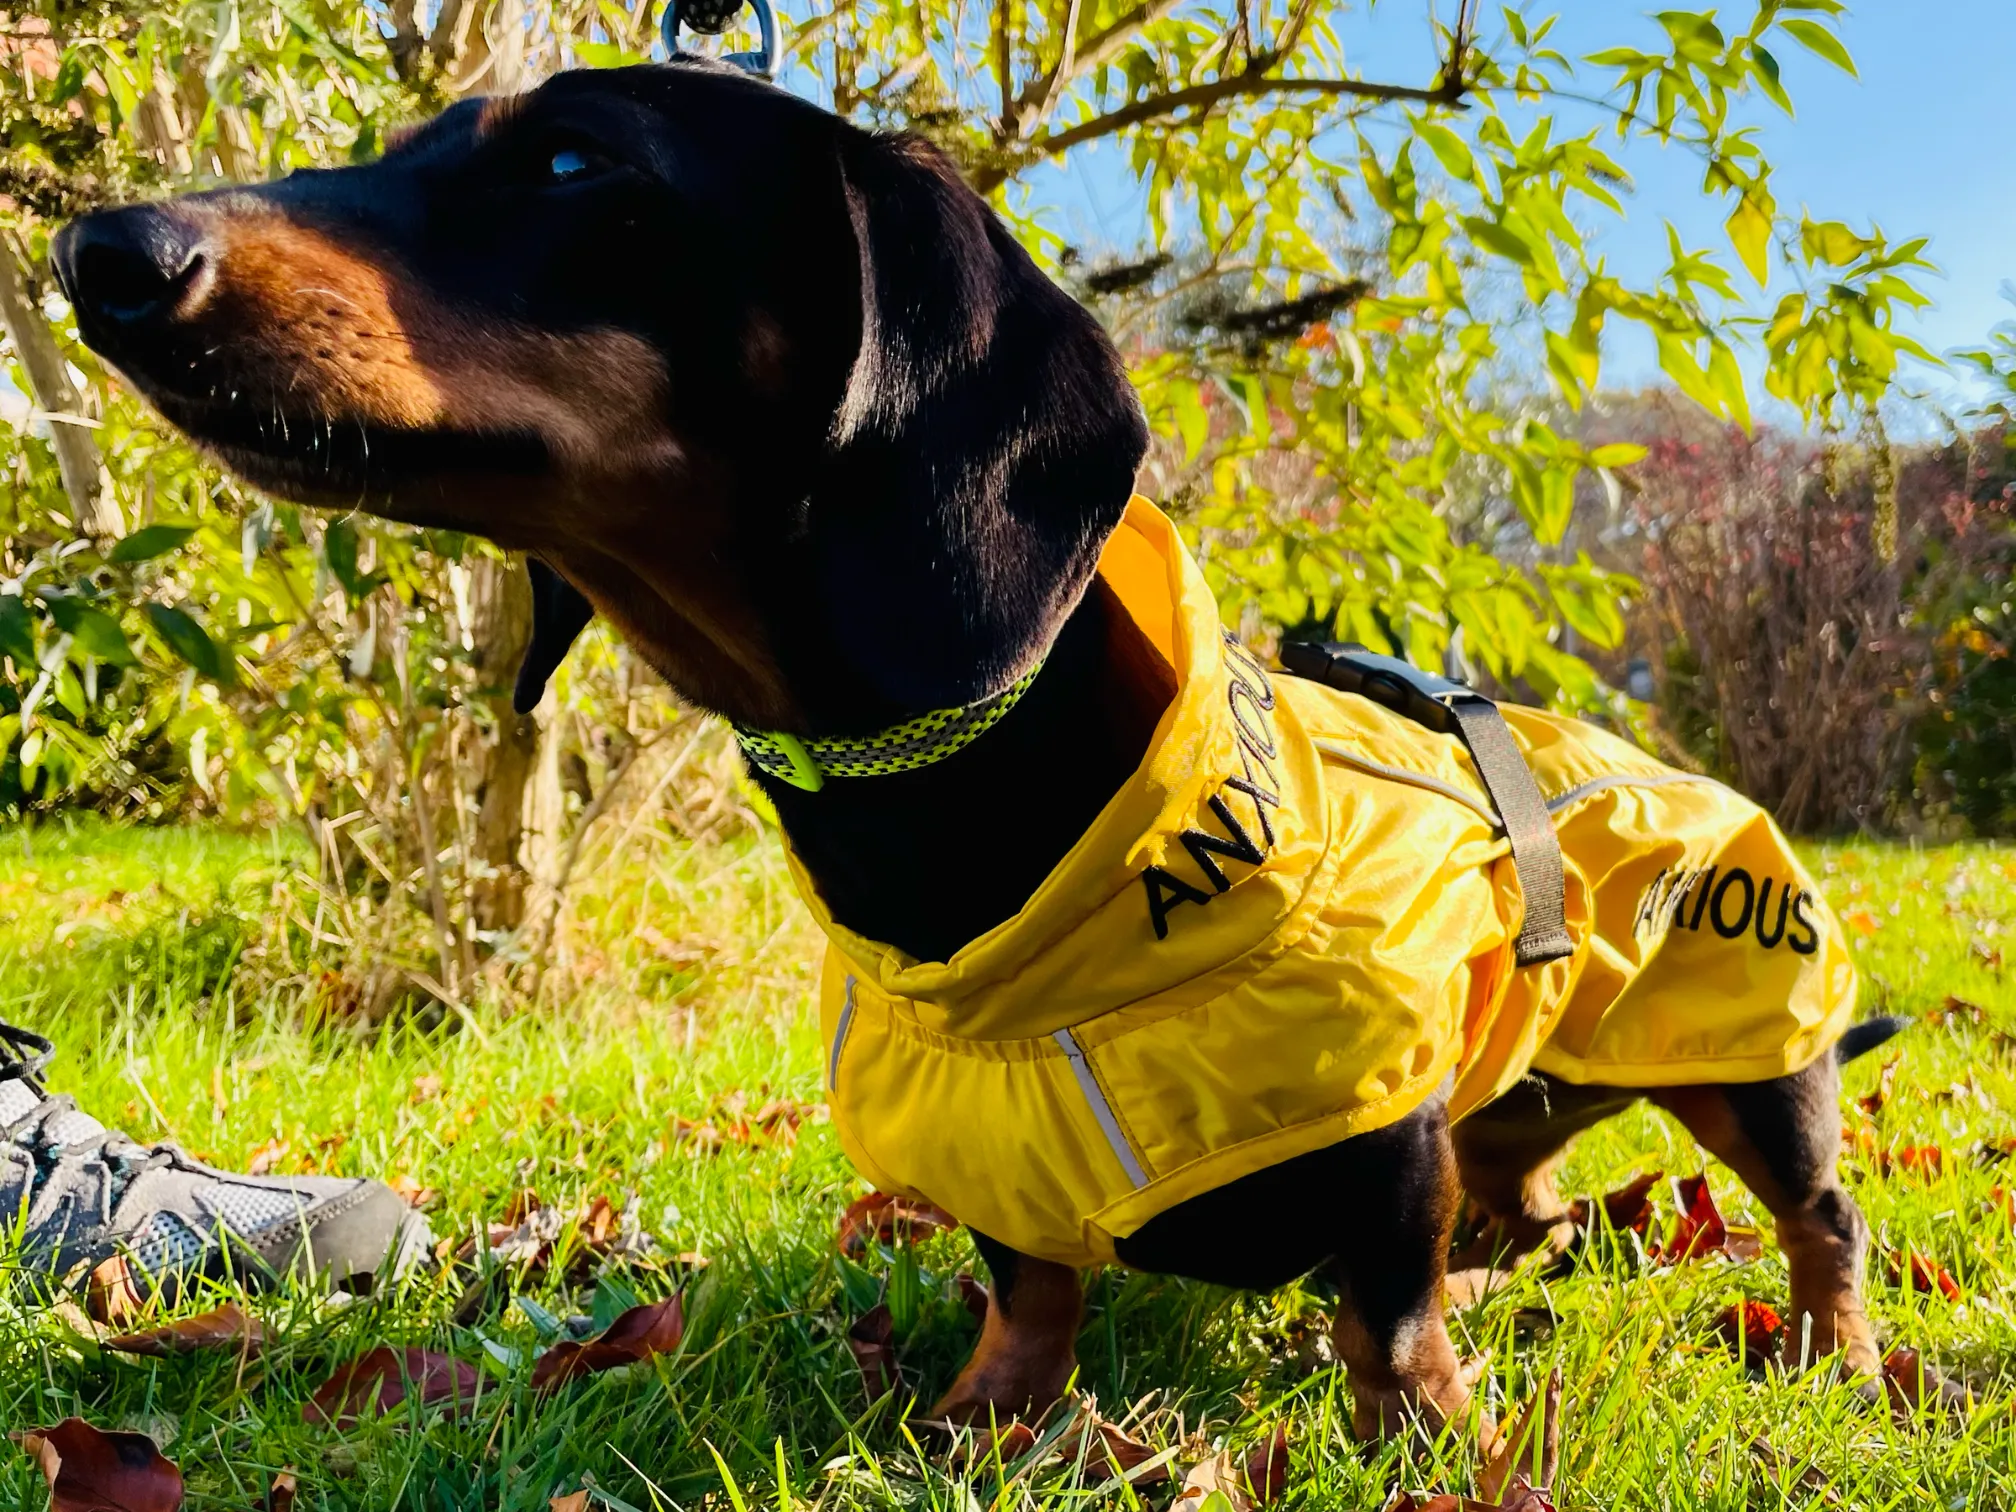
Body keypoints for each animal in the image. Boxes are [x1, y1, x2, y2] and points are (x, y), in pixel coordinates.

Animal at [51, 62, 1903, 1443]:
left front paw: (1423, 1438)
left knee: (1817, 1216)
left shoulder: (1383, 1133)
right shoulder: (1005, 1151)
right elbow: (1032, 1284)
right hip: (1522, 1092)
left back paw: (1838, 1355)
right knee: (1528, 1197)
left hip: (1756, 1058)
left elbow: (1382, 1316)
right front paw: (985, 1417)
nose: (100, 253)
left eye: (576, 159)